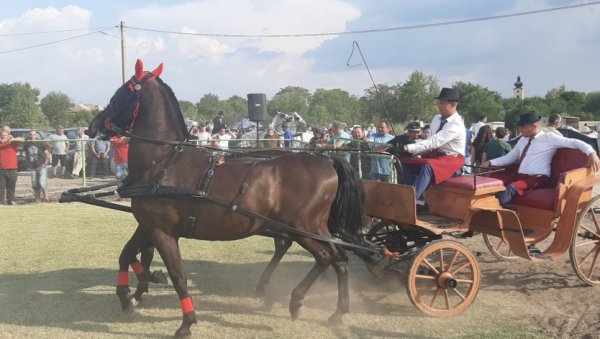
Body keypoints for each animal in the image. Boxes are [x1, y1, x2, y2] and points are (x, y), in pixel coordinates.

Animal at [84, 59, 366, 338]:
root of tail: (326, 160)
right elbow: (127, 255)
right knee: (339, 258)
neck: (163, 163)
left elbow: (177, 275)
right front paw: (131, 294)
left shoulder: (162, 231)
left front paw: (186, 322)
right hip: (312, 228)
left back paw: (298, 300)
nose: (91, 127)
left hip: (302, 228)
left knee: (326, 256)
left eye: (121, 94)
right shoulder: (148, 226)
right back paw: (335, 311)